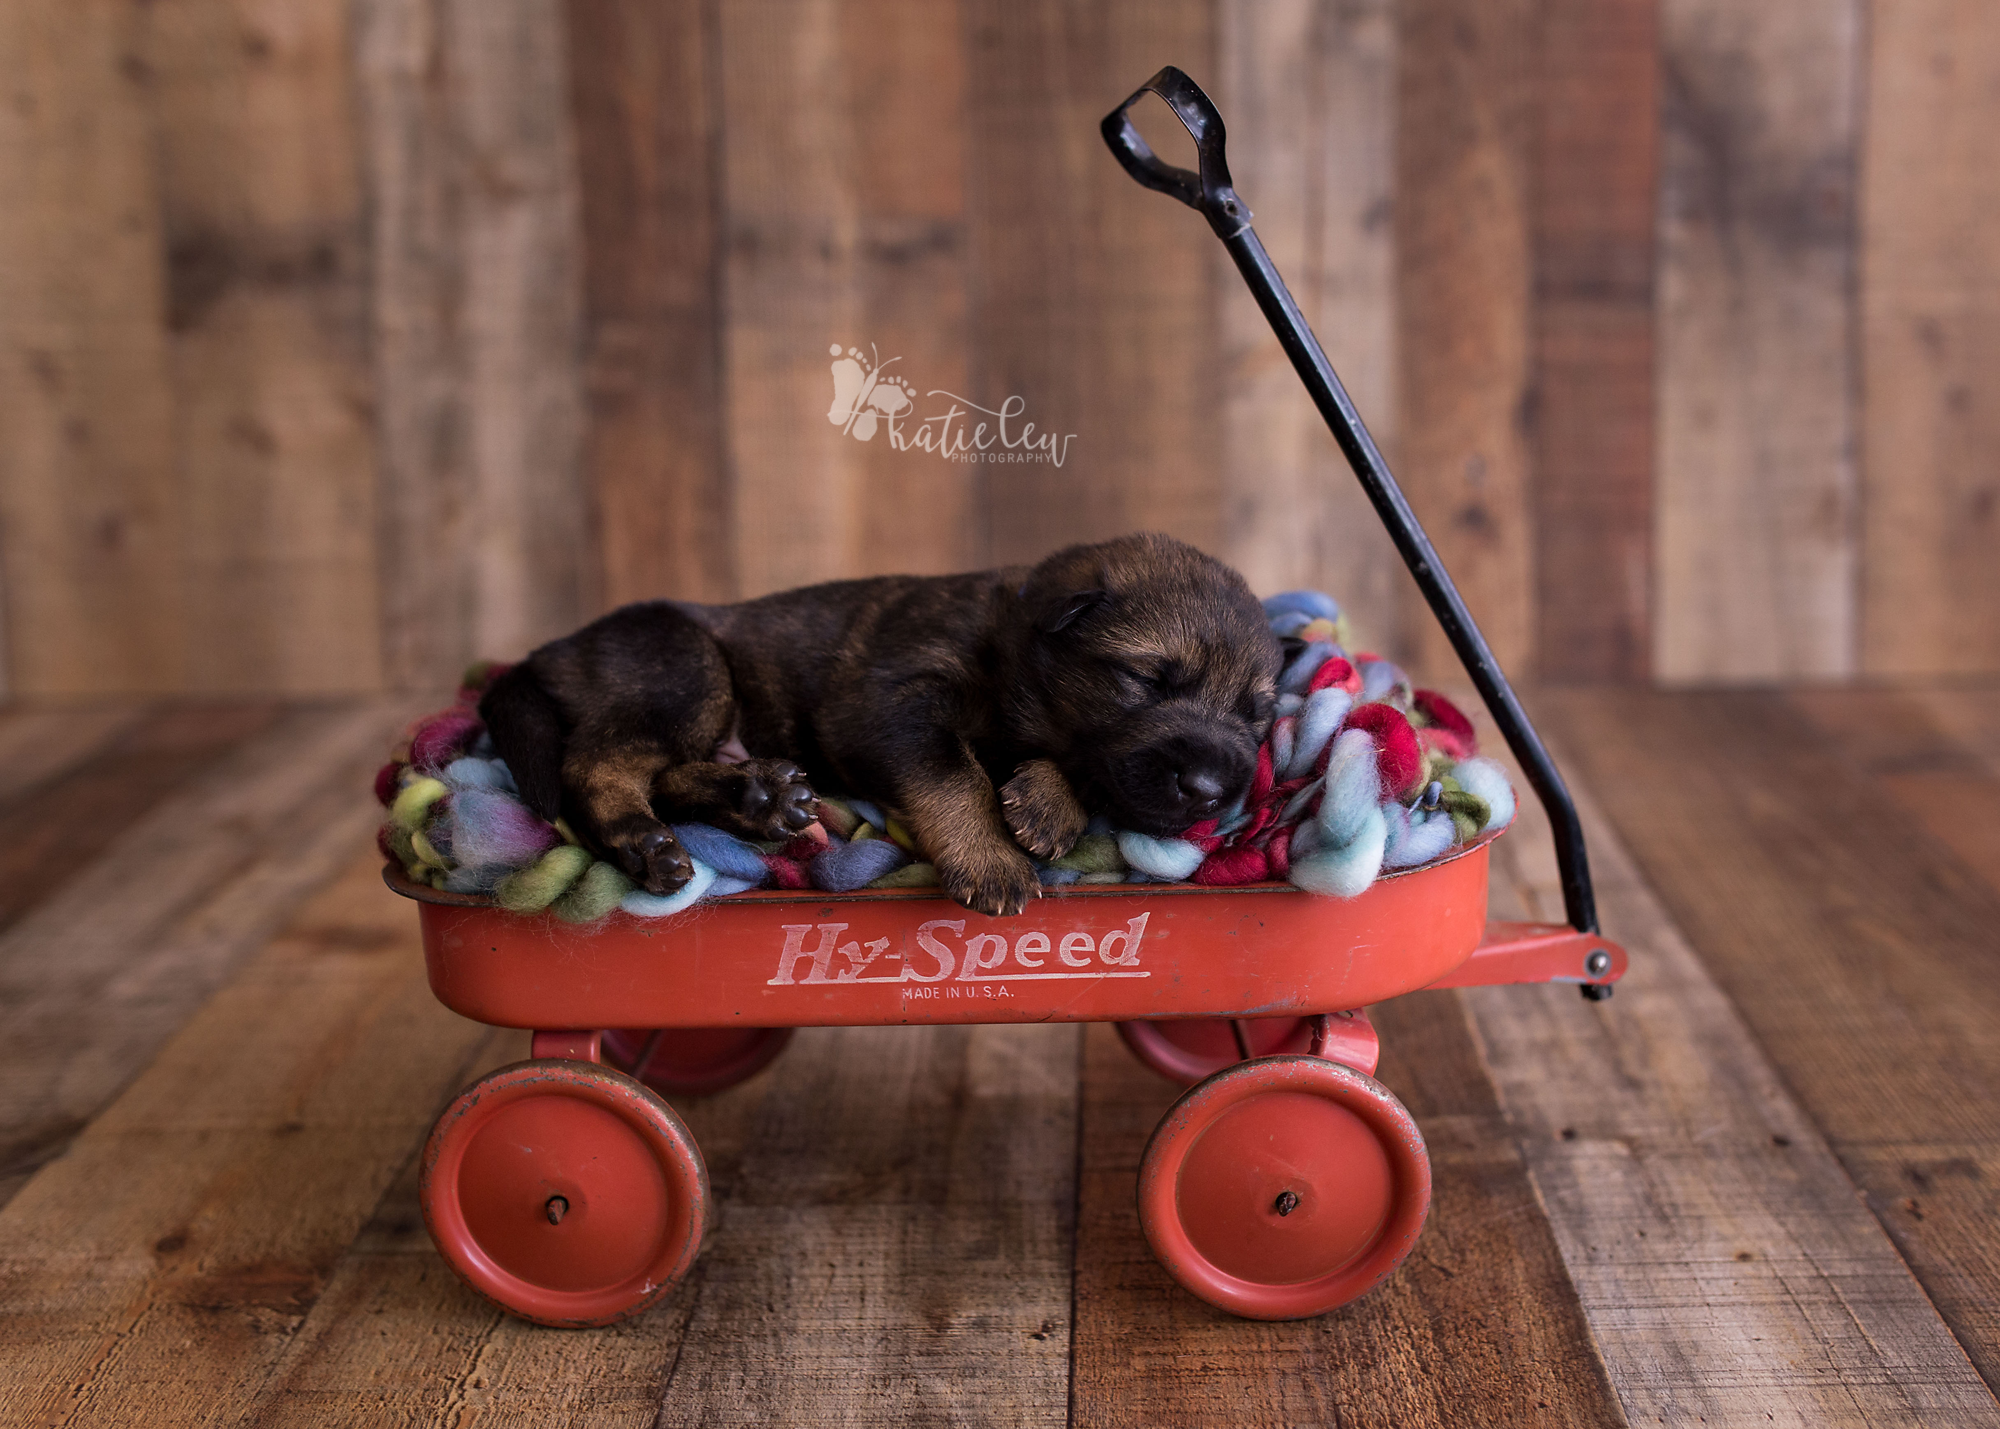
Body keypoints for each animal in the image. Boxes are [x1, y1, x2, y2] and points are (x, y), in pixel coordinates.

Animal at [492, 532, 1288, 912]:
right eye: (1148, 680)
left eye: (1257, 714)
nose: (1212, 789)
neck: (1008, 645)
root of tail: (547, 650)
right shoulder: (894, 702)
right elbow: (953, 773)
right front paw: (991, 856)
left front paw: (1046, 803)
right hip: (683, 667)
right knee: (601, 763)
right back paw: (643, 840)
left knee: (664, 769)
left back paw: (759, 798)